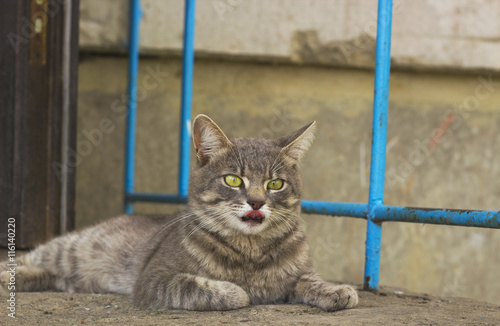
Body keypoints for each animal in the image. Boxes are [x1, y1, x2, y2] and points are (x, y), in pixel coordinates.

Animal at [0, 114, 360, 310]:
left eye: (275, 184)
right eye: (233, 179)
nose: (257, 202)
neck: (250, 251)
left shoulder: (299, 274)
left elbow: (310, 281)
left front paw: (336, 290)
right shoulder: (154, 279)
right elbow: (210, 288)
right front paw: (239, 290)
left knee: (48, 275)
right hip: (72, 247)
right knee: (30, 257)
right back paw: (7, 273)